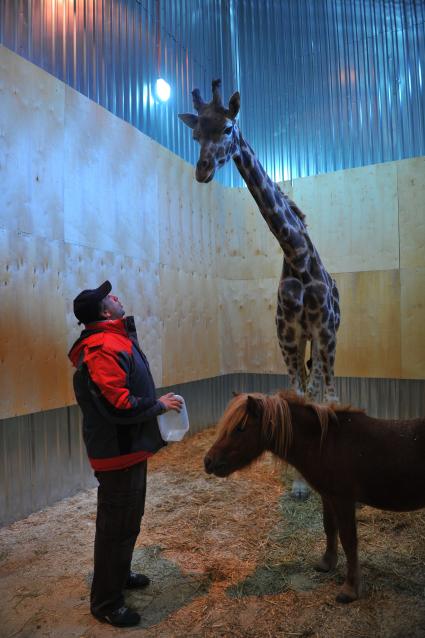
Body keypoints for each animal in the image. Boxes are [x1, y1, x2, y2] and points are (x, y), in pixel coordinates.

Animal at [179, 80, 342, 500]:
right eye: (195, 134)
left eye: (227, 128)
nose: (203, 170)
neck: (297, 255)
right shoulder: (287, 337)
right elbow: (297, 396)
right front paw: (300, 482)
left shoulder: (324, 333)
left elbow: (325, 396)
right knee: (311, 385)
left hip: (326, 338)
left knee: (323, 386)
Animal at [203, 390, 425, 604]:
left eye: (240, 428)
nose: (208, 461)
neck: (326, 443)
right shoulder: (328, 497)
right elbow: (329, 528)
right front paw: (327, 563)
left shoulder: (344, 501)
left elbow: (349, 541)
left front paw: (350, 589)